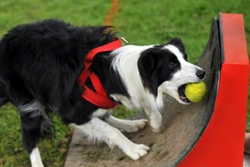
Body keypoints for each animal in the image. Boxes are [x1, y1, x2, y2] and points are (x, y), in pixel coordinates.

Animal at [0, 19, 204, 166]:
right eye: (172, 65)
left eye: (185, 58)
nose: (202, 72)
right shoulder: (72, 112)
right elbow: (110, 131)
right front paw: (134, 149)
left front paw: (154, 121)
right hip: (29, 103)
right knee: (29, 138)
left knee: (103, 114)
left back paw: (131, 124)